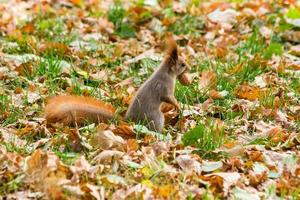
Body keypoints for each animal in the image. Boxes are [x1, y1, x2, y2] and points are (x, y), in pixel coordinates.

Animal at [45, 35, 190, 133]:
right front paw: (177, 106)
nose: (189, 67)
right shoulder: (164, 86)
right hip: (156, 117)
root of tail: (129, 122)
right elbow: (168, 97)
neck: (168, 73)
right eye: (182, 64)